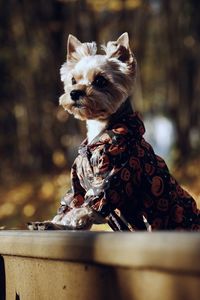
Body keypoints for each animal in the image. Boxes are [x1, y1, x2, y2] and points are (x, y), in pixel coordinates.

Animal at [28, 32, 200, 231]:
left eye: (100, 81)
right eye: (73, 80)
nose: (74, 93)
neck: (101, 129)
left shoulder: (113, 177)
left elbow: (86, 207)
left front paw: (63, 222)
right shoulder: (77, 184)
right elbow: (71, 202)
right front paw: (53, 222)